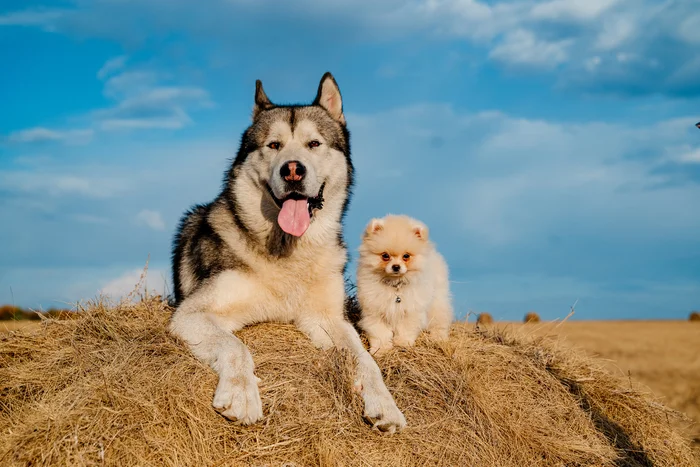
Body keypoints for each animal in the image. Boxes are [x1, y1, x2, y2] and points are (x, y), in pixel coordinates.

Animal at [170, 73, 408, 436]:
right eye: (273, 145)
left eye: (314, 144)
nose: (293, 170)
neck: (288, 252)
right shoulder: (191, 314)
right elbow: (235, 346)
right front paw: (241, 394)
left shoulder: (327, 318)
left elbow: (365, 359)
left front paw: (385, 404)